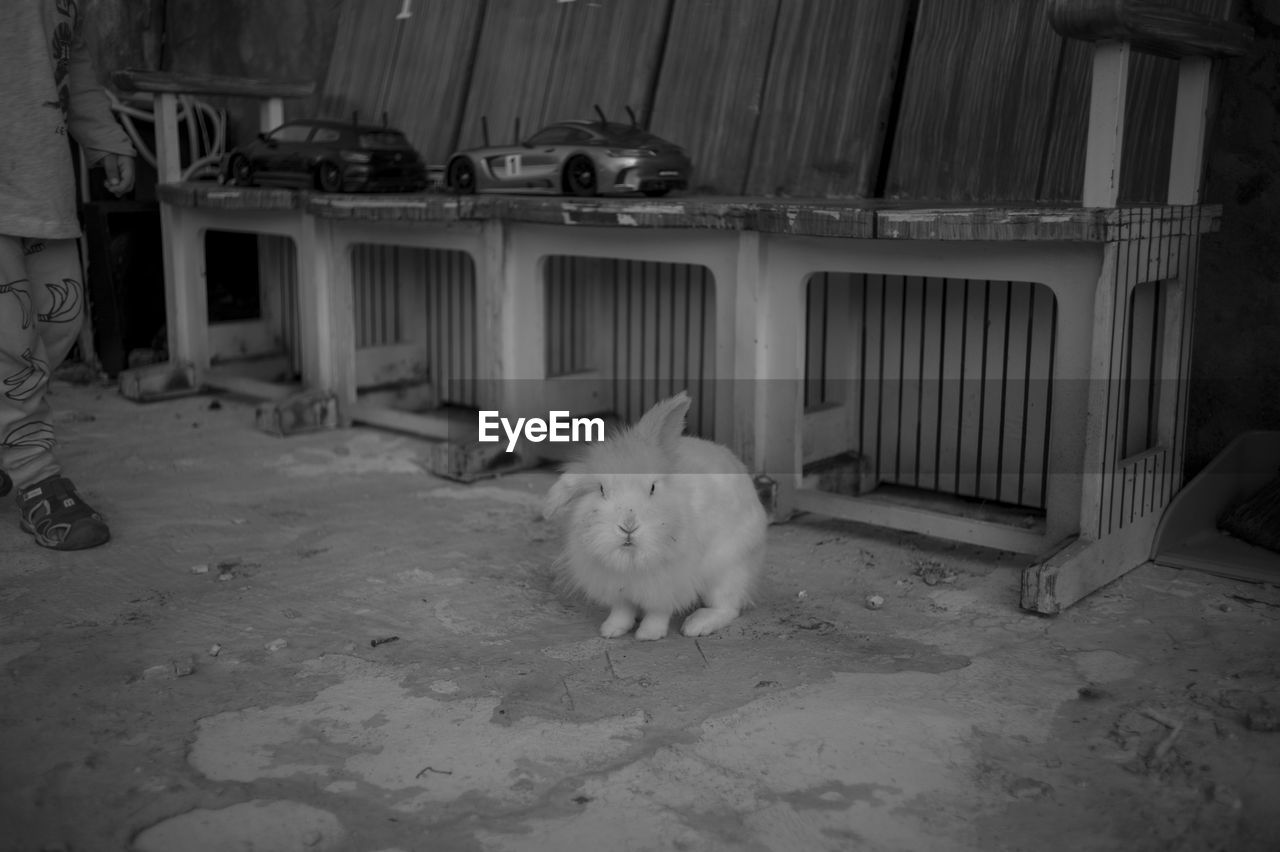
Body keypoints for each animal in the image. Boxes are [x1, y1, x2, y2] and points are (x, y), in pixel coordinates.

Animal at [542, 391, 762, 637]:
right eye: (601, 489)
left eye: (653, 488)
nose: (628, 525)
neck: (631, 558)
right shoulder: (618, 588)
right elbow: (622, 610)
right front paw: (612, 630)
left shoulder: (667, 585)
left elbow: (659, 612)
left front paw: (649, 634)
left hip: (727, 569)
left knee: (728, 607)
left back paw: (696, 625)